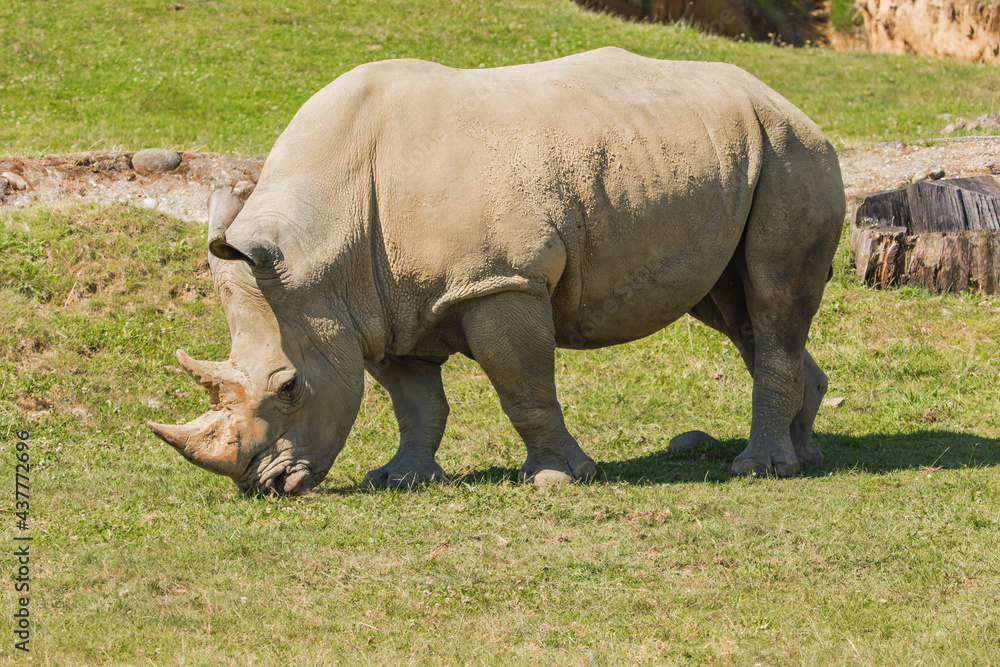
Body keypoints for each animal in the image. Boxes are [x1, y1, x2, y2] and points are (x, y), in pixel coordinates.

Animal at [148, 47, 845, 495]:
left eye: (290, 388)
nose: (264, 485)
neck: (318, 253)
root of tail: (787, 102)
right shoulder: (376, 309)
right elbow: (415, 402)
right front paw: (398, 479)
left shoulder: (499, 281)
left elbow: (523, 388)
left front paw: (559, 480)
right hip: (738, 153)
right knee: (737, 312)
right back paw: (806, 454)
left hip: (791, 151)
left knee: (771, 296)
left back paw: (761, 470)